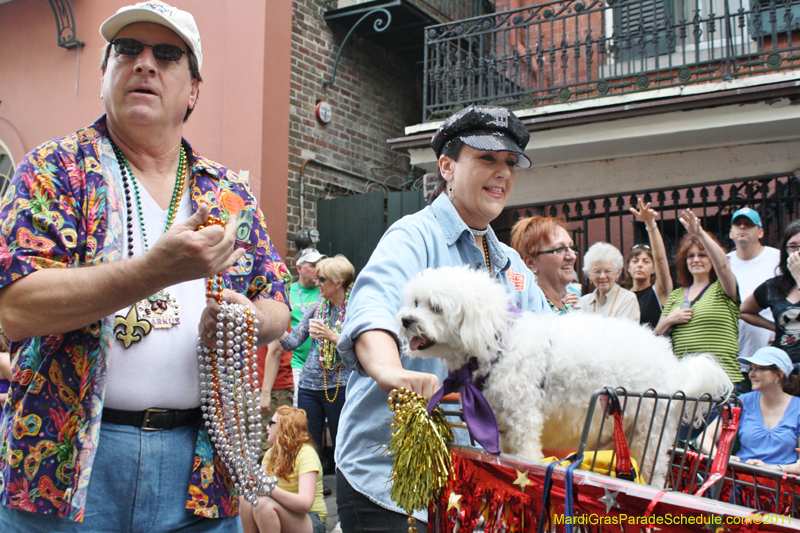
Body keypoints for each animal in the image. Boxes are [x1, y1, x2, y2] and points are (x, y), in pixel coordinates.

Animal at [396, 264, 736, 484]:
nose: (406, 320)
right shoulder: (503, 423)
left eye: (435, 307)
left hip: (650, 431)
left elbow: (527, 454)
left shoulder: (524, 416)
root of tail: (675, 366)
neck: (497, 340)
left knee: (654, 469)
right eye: (414, 302)